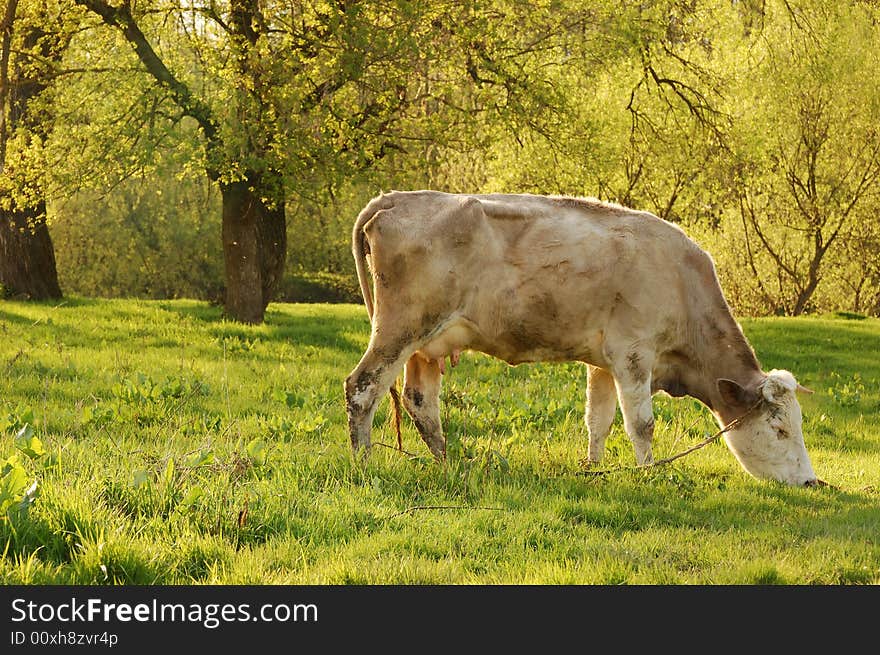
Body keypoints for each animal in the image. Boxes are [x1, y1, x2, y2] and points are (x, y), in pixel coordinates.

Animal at [340, 190, 820, 486]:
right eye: (779, 429)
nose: (811, 481)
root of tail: (396, 198)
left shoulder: (603, 362)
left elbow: (599, 420)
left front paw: (593, 468)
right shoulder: (633, 353)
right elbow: (641, 423)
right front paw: (649, 473)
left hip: (426, 345)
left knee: (421, 403)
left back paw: (446, 463)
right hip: (399, 329)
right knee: (362, 388)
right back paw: (364, 464)